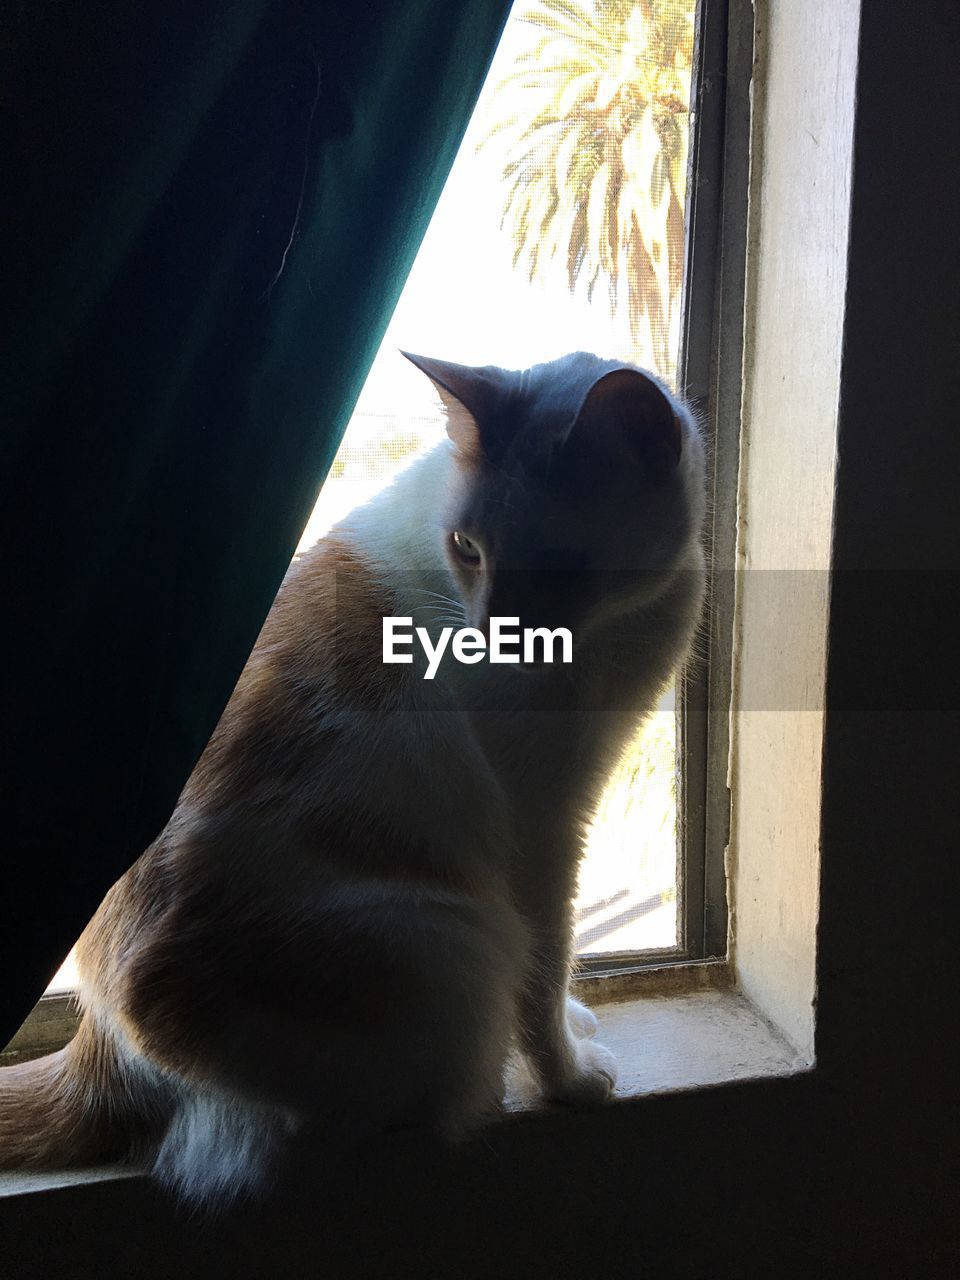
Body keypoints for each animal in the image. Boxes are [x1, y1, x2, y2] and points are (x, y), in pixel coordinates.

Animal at [0, 350, 706, 1208]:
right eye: (467, 548)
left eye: (563, 565)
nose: (493, 634)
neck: (626, 626)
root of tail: (99, 1043)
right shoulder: (546, 827)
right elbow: (546, 965)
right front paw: (567, 1079)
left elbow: (554, 973)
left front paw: (576, 1024)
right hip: (460, 947)